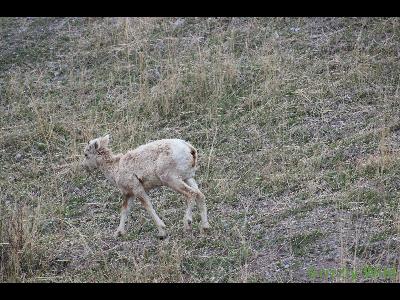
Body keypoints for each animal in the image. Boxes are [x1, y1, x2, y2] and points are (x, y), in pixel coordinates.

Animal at [81, 134, 209, 239]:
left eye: (86, 154)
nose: (84, 167)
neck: (115, 169)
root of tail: (190, 149)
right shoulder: (129, 194)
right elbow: (124, 210)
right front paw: (118, 233)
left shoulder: (137, 189)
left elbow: (148, 207)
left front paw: (162, 232)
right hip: (188, 178)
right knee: (200, 195)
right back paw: (205, 228)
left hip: (172, 180)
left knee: (191, 194)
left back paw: (187, 224)